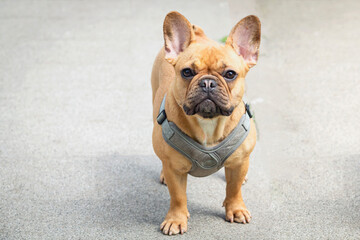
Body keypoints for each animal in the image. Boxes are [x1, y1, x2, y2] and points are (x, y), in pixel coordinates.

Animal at [150, 11, 260, 234]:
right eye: (187, 72)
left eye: (230, 74)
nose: (207, 82)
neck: (209, 123)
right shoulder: (174, 170)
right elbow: (178, 196)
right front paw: (176, 219)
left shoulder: (239, 162)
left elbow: (234, 189)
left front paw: (235, 209)